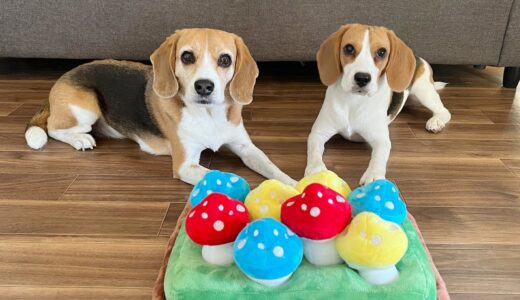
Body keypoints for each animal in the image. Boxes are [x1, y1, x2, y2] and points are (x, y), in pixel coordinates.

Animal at [25, 29, 296, 186]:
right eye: (186, 56)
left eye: (225, 60)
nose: (204, 86)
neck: (209, 114)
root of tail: (64, 76)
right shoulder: (185, 165)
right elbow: (229, 180)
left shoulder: (246, 148)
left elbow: (273, 169)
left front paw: (295, 187)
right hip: (86, 107)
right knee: (53, 128)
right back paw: (80, 139)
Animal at [306, 23, 448, 185]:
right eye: (349, 48)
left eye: (381, 52)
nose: (362, 78)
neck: (354, 101)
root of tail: (418, 58)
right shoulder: (318, 133)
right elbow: (314, 152)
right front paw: (316, 171)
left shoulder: (381, 140)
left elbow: (378, 158)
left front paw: (373, 175)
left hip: (423, 92)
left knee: (444, 111)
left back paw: (436, 122)